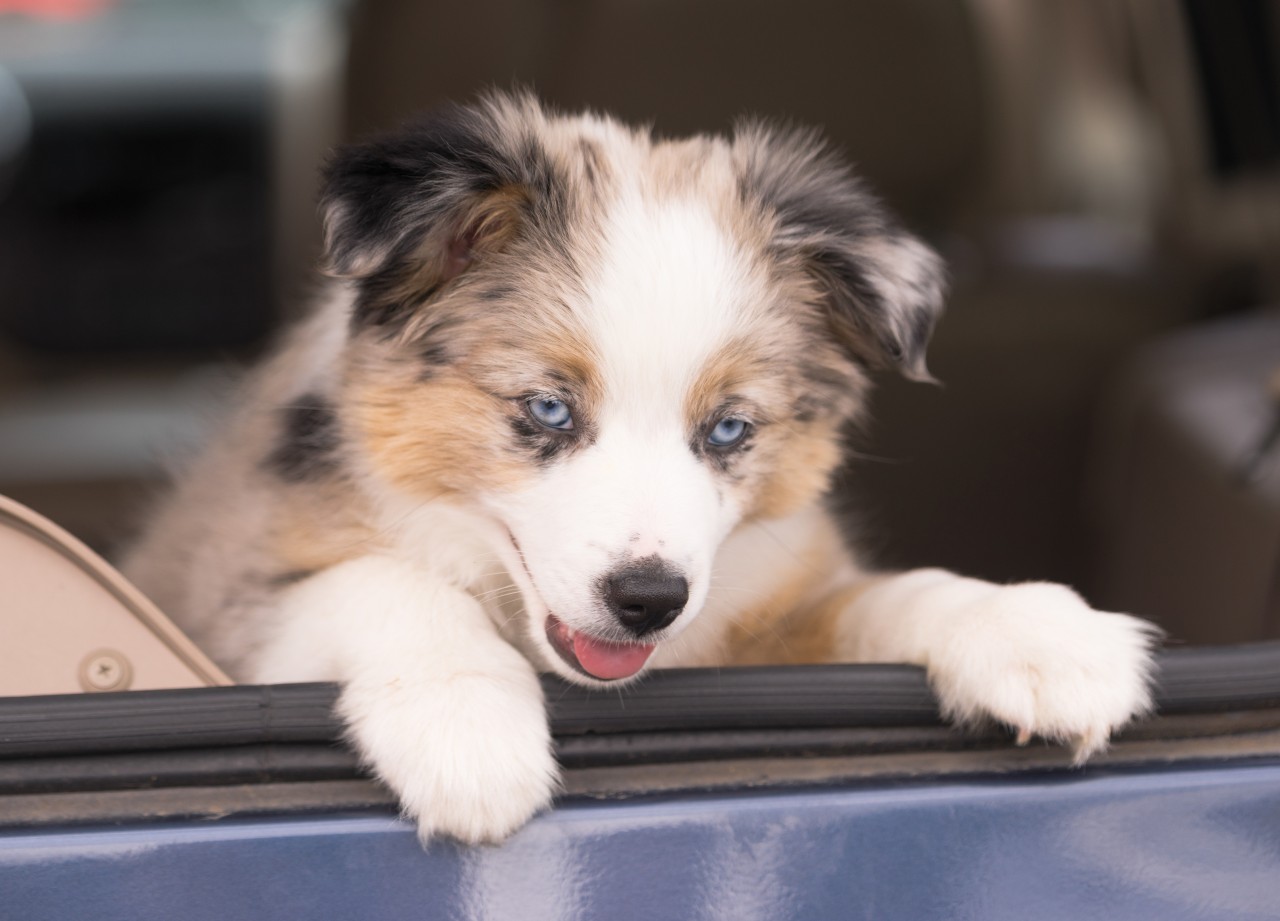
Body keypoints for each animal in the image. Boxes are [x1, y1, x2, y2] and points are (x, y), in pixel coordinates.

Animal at [127, 91, 1162, 844]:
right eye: (547, 409)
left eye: (730, 429)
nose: (649, 601)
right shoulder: (218, 590)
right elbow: (385, 581)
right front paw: (466, 725)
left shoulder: (771, 598)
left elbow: (887, 591)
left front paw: (1037, 632)